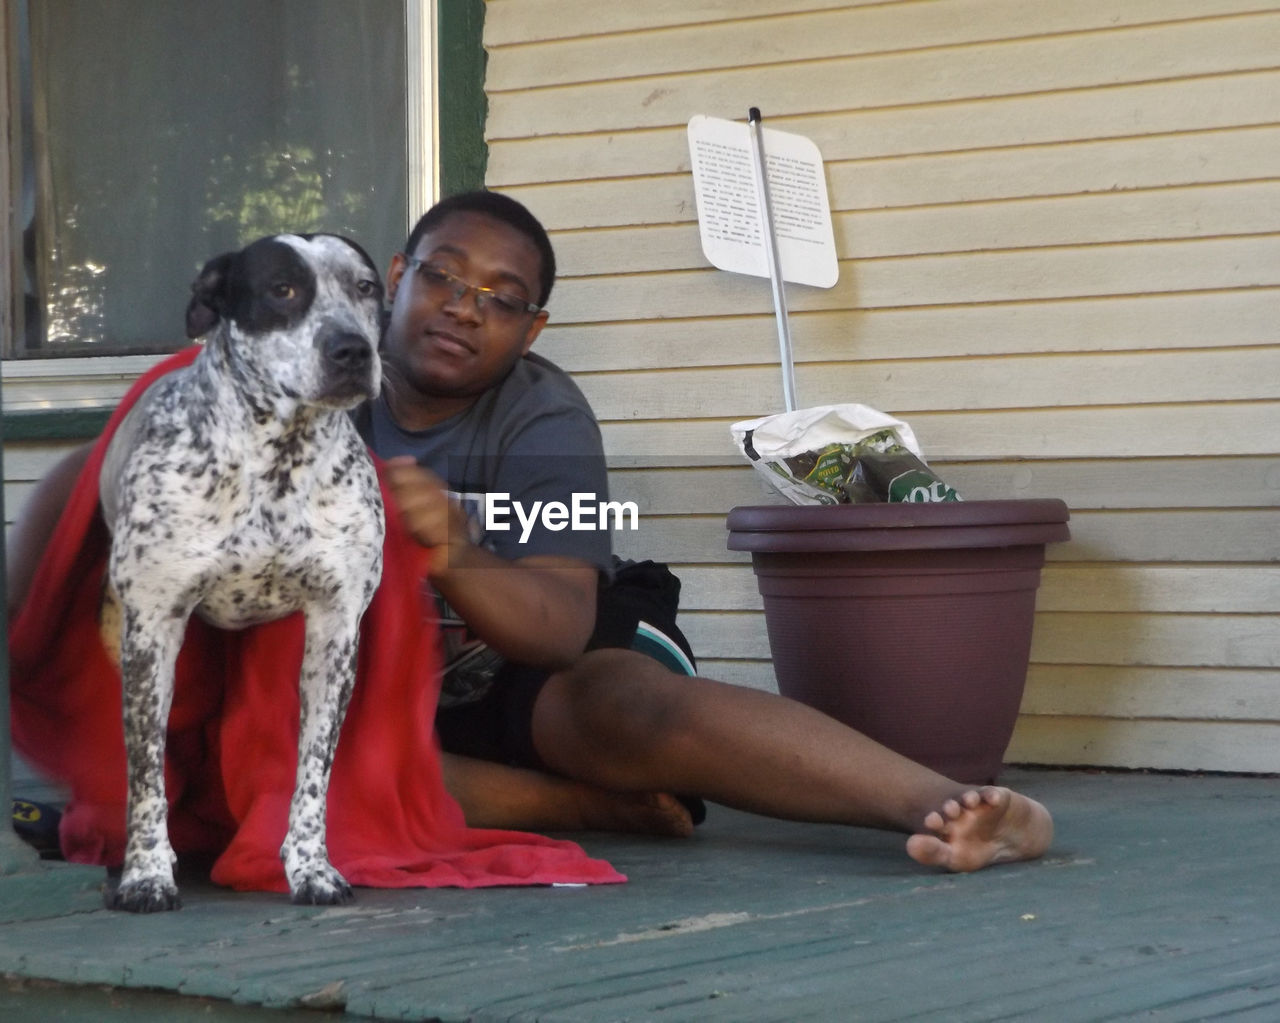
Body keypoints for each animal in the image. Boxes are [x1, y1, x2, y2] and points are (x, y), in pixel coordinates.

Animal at [99, 234, 384, 911]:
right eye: (282, 289)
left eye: (365, 287)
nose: (353, 350)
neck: (279, 462)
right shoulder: (152, 631)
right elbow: (145, 774)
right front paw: (146, 873)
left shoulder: (336, 632)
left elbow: (313, 771)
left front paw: (311, 867)